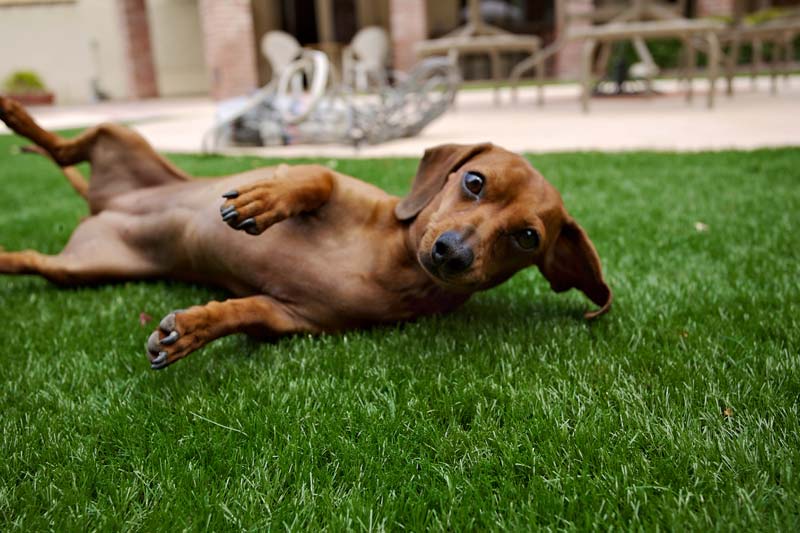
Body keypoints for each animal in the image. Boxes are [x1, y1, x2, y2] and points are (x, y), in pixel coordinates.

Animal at [0, 95, 612, 368]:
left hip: (82, 269)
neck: (390, 260)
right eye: (474, 180)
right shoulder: (338, 186)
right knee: (65, 145)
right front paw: (265, 199)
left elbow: (245, 310)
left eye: (527, 238)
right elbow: (315, 177)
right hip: (120, 136)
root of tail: (104, 203)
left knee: (31, 257)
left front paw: (194, 329)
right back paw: (15, 110)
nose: (451, 253)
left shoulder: (290, 317)